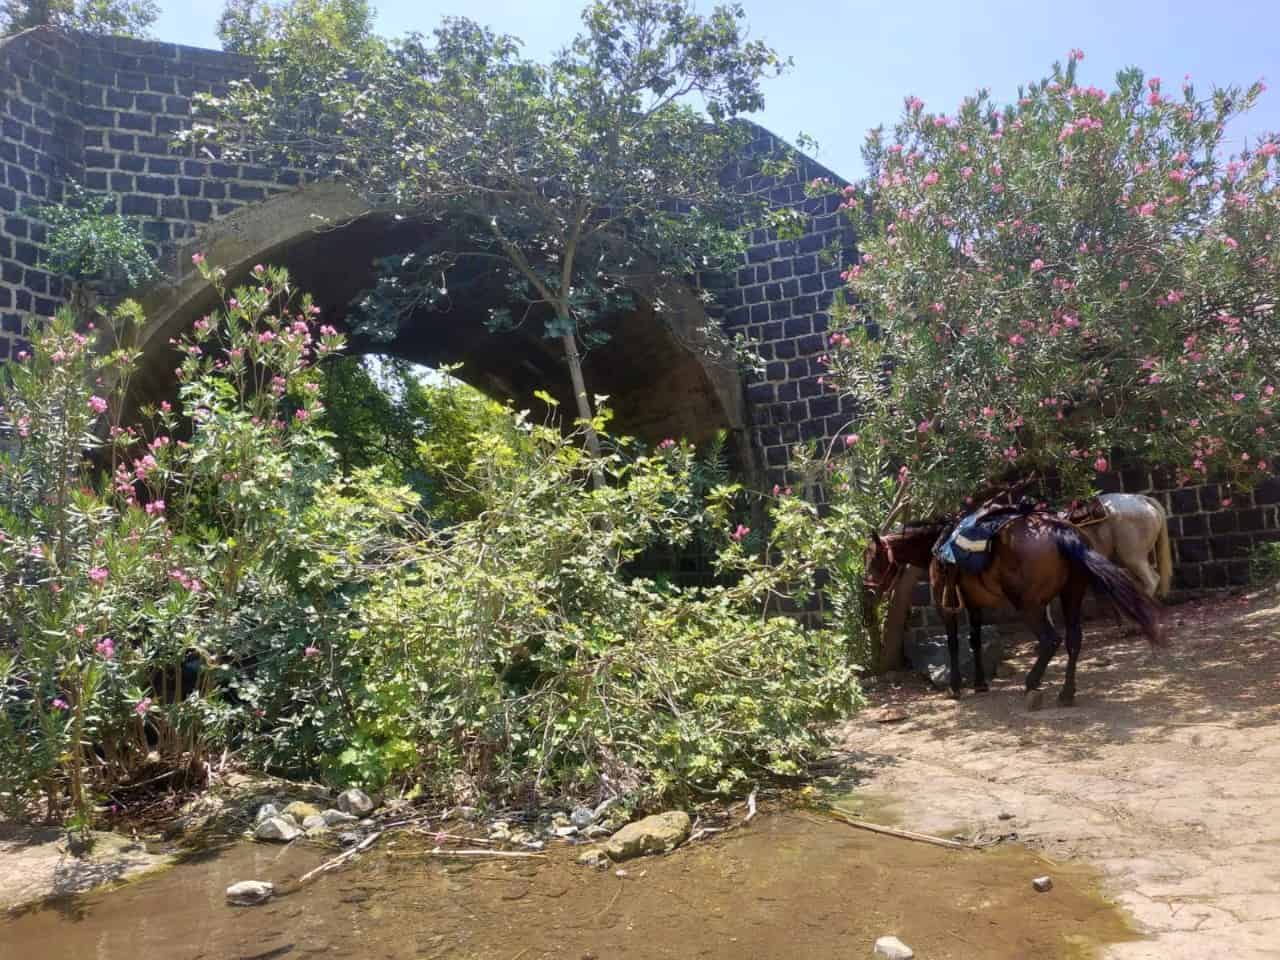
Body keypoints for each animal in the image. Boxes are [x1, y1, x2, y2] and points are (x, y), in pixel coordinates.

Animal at [864, 511, 1164, 708]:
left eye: (873, 558)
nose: (867, 590)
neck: (936, 546)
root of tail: (1062, 532)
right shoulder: (975, 605)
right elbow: (974, 640)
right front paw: (980, 683)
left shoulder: (944, 604)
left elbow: (953, 643)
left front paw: (956, 687)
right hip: (1071, 595)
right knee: (1073, 640)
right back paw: (1066, 693)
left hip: (1028, 604)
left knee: (1050, 639)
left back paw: (1032, 682)